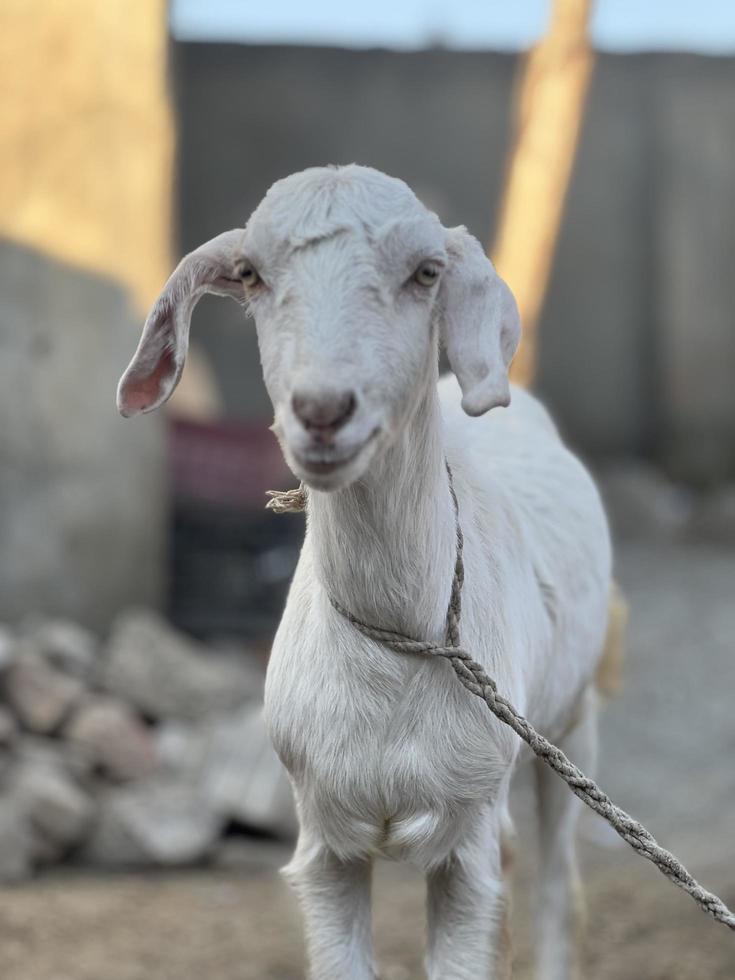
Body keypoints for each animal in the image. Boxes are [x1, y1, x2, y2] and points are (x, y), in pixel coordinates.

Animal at [121, 165, 612, 976]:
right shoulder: (324, 842)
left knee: (557, 888)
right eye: (250, 274)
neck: (400, 645)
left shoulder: (467, 838)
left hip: (569, 721)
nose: (322, 410)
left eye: (426, 272)